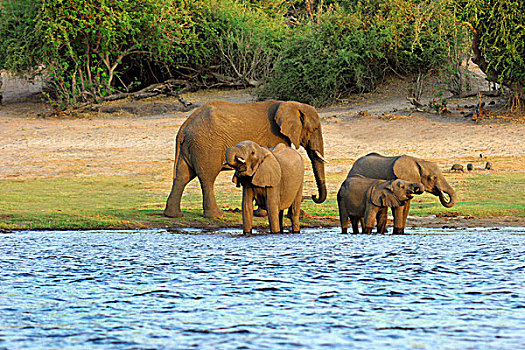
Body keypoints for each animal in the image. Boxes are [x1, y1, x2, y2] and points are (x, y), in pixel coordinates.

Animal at [164, 100, 328, 217]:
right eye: (314, 129)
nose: (313, 195)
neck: (291, 104)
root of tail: (184, 127)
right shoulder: (275, 136)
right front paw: (263, 213)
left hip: (191, 146)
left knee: (182, 176)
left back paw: (173, 215)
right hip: (206, 145)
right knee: (207, 177)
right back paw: (217, 216)